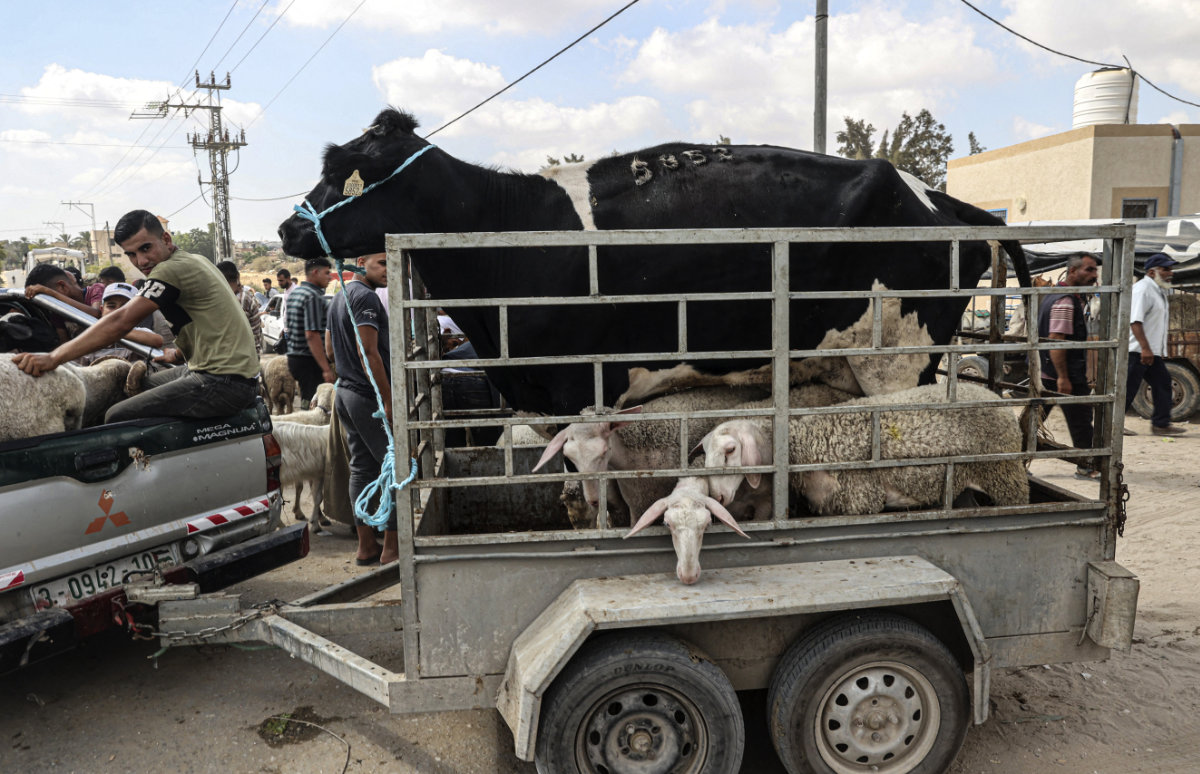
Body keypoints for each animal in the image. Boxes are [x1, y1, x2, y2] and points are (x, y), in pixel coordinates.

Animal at [700, 379, 1032, 513]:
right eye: (704, 453)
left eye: (730, 451)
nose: (717, 496)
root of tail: (990, 393)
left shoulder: (860, 499)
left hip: (1005, 475)